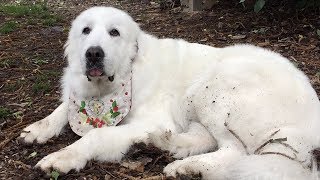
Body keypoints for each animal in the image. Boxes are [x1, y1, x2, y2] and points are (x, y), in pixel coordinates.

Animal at [19, 6, 320, 179]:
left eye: (114, 32)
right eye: (86, 30)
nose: (93, 53)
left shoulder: (150, 117)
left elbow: (97, 134)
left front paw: (64, 157)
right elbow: (63, 108)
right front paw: (38, 128)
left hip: (215, 84)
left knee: (234, 151)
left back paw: (187, 165)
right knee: (203, 139)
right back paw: (165, 146)